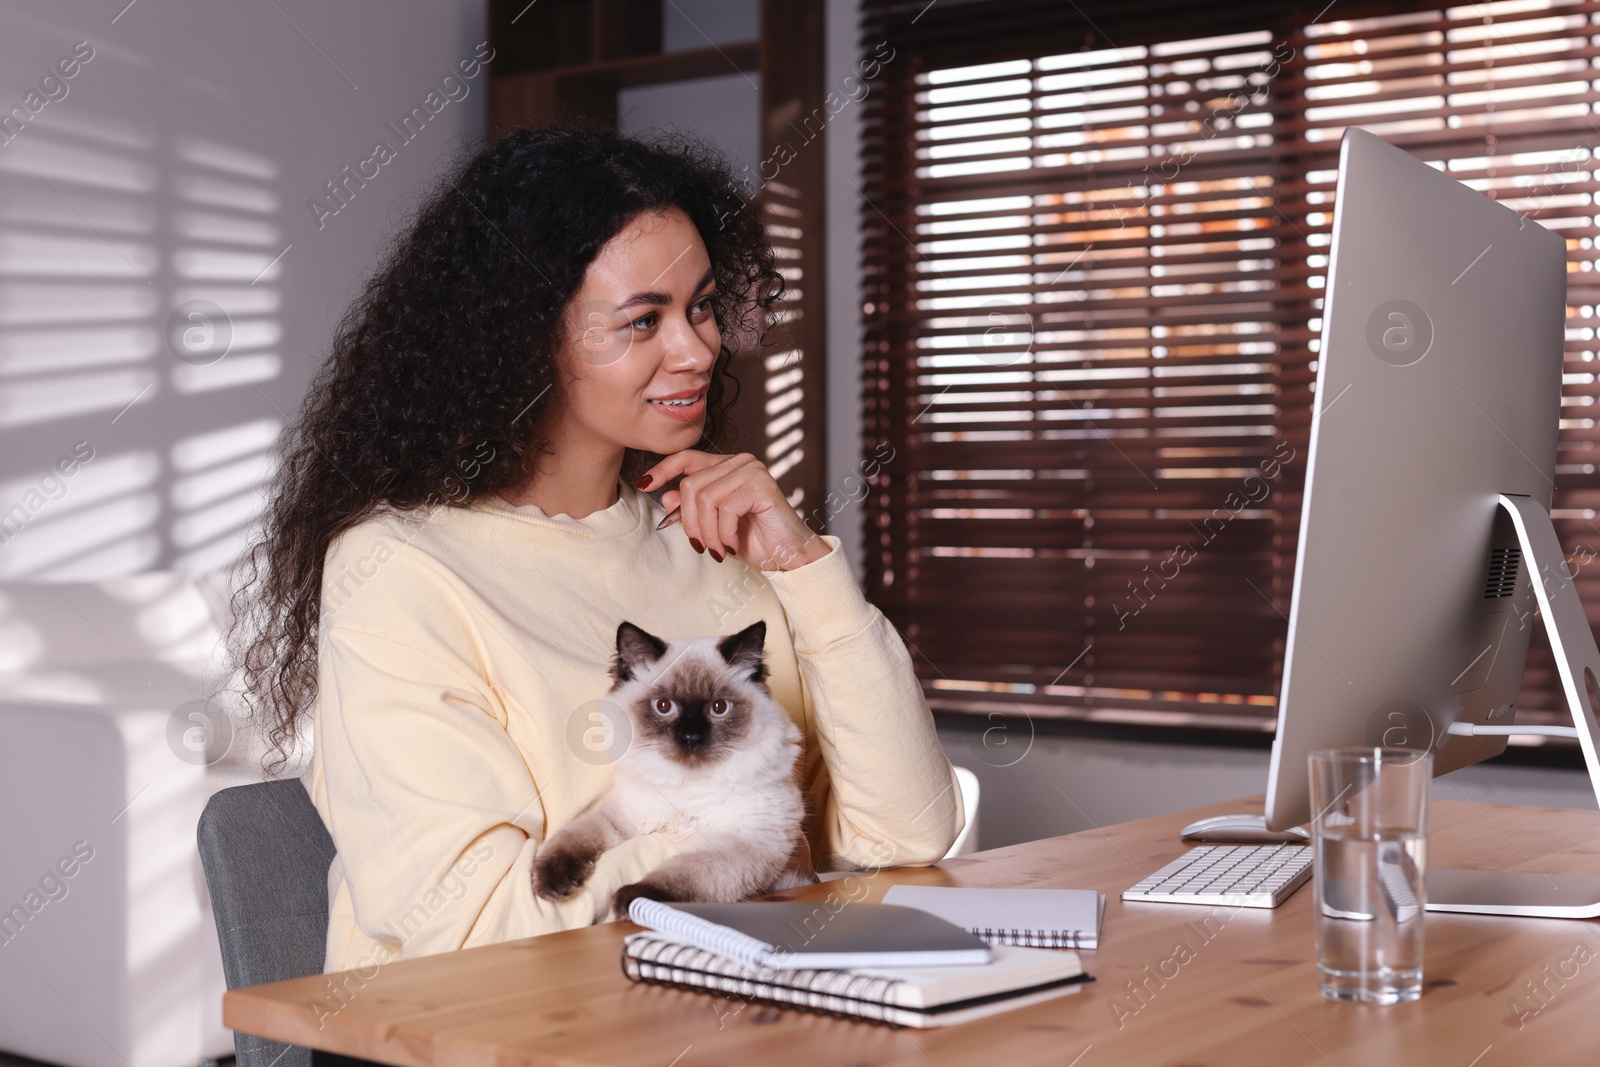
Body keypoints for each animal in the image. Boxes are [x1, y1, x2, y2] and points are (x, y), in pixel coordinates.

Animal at [534, 617, 812, 921]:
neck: (685, 785)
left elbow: (680, 874)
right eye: (664, 706)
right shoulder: (621, 817)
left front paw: (632, 901)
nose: (691, 737)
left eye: (719, 708)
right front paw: (551, 882)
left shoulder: (742, 841)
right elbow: (574, 836)